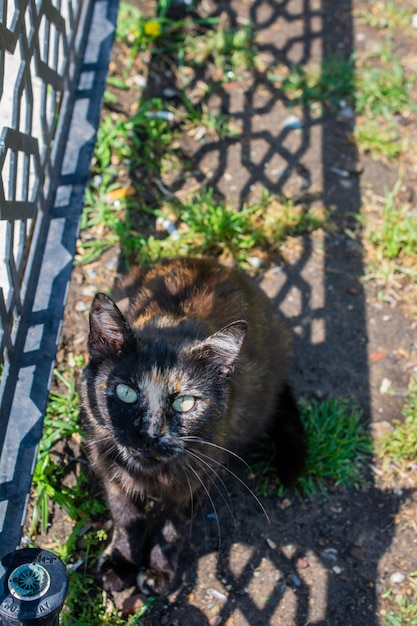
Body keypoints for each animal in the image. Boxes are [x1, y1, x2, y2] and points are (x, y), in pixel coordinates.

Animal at [79, 256, 306, 592]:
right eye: (126, 392)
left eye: (184, 402)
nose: (150, 432)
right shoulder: (110, 466)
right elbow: (126, 518)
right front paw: (120, 564)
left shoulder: (201, 475)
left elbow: (172, 527)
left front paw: (158, 572)